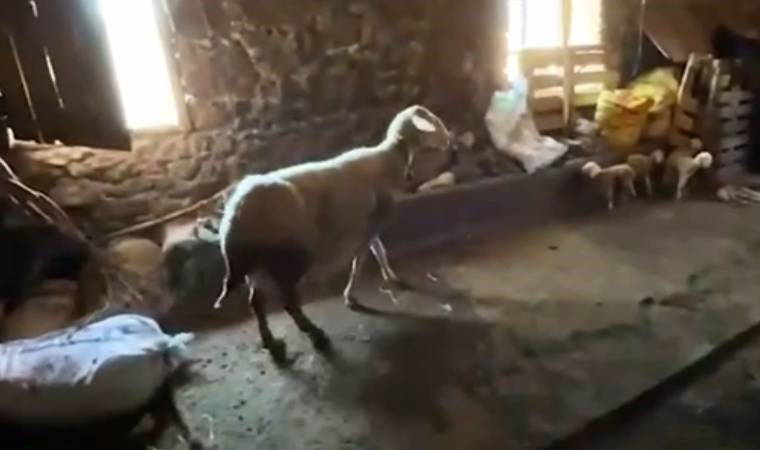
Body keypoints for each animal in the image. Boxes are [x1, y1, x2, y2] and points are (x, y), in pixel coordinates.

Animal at [213, 105, 452, 362]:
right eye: (432, 120)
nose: (452, 144)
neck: (390, 160)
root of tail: (237, 215)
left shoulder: (370, 226)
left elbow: (379, 251)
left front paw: (391, 277)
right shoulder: (368, 227)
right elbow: (360, 261)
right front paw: (351, 296)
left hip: (256, 266)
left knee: (257, 302)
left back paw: (271, 342)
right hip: (289, 258)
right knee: (288, 303)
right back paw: (316, 335)